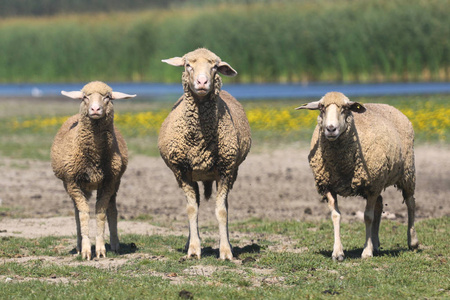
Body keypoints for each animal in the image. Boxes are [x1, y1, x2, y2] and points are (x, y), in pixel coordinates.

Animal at [50, 81, 135, 258]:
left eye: (108, 97)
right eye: (84, 97)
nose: (95, 109)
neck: (94, 157)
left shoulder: (108, 182)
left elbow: (101, 212)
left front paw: (101, 249)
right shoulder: (73, 183)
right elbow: (83, 214)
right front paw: (86, 249)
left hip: (115, 183)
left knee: (112, 210)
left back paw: (115, 245)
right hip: (73, 186)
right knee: (77, 213)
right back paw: (78, 245)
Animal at [158, 48, 251, 258]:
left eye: (215, 67)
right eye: (187, 65)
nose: (202, 82)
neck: (200, 142)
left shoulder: (225, 169)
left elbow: (222, 211)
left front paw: (226, 251)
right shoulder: (182, 171)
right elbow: (191, 209)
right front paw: (193, 249)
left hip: (229, 173)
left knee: (224, 205)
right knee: (196, 204)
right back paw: (190, 242)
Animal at [298, 91, 420, 260]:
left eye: (345, 108)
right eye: (322, 107)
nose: (330, 129)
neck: (340, 166)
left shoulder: (372, 186)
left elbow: (367, 216)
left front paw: (366, 252)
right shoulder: (329, 185)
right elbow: (335, 215)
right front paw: (338, 252)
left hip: (406, 172)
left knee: (410, 203)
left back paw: (413, 242)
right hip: (377, 181)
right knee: (379, 204)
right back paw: (375, 244)